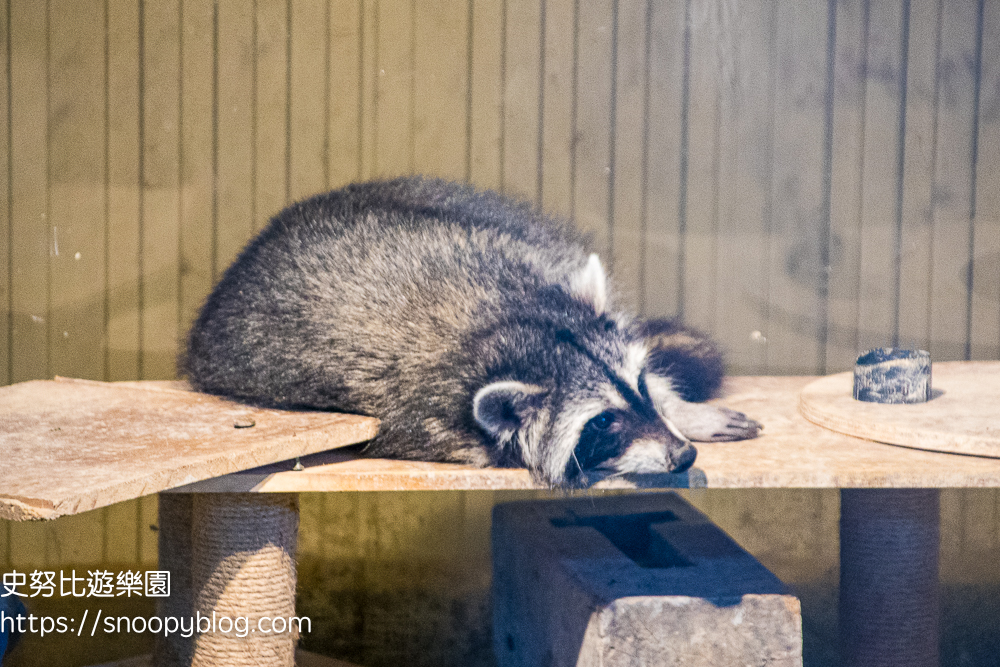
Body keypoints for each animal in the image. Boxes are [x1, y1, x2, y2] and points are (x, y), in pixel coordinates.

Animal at [182, 177, 756, 488]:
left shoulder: (531, 257)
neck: (501, 323)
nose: (683, 456)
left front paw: (676, 407)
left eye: (637, 386)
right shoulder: (418, 418)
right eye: (603, 422)